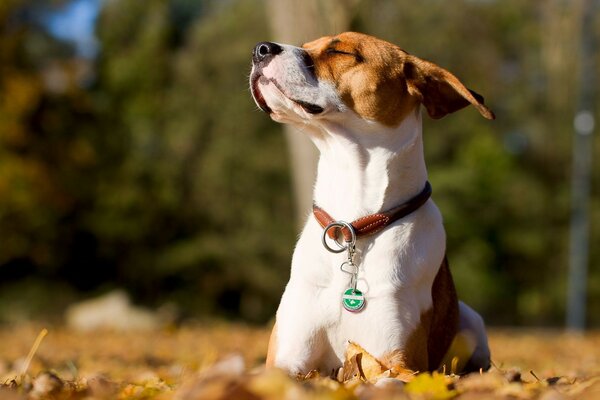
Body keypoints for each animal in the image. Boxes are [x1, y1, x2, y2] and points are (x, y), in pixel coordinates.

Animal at [248, 32, 492, 376]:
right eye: (307, 45)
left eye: (341, 51)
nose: (260, 49)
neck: (352, 223)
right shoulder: (284, 360)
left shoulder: (398, 362)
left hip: (472, 323)